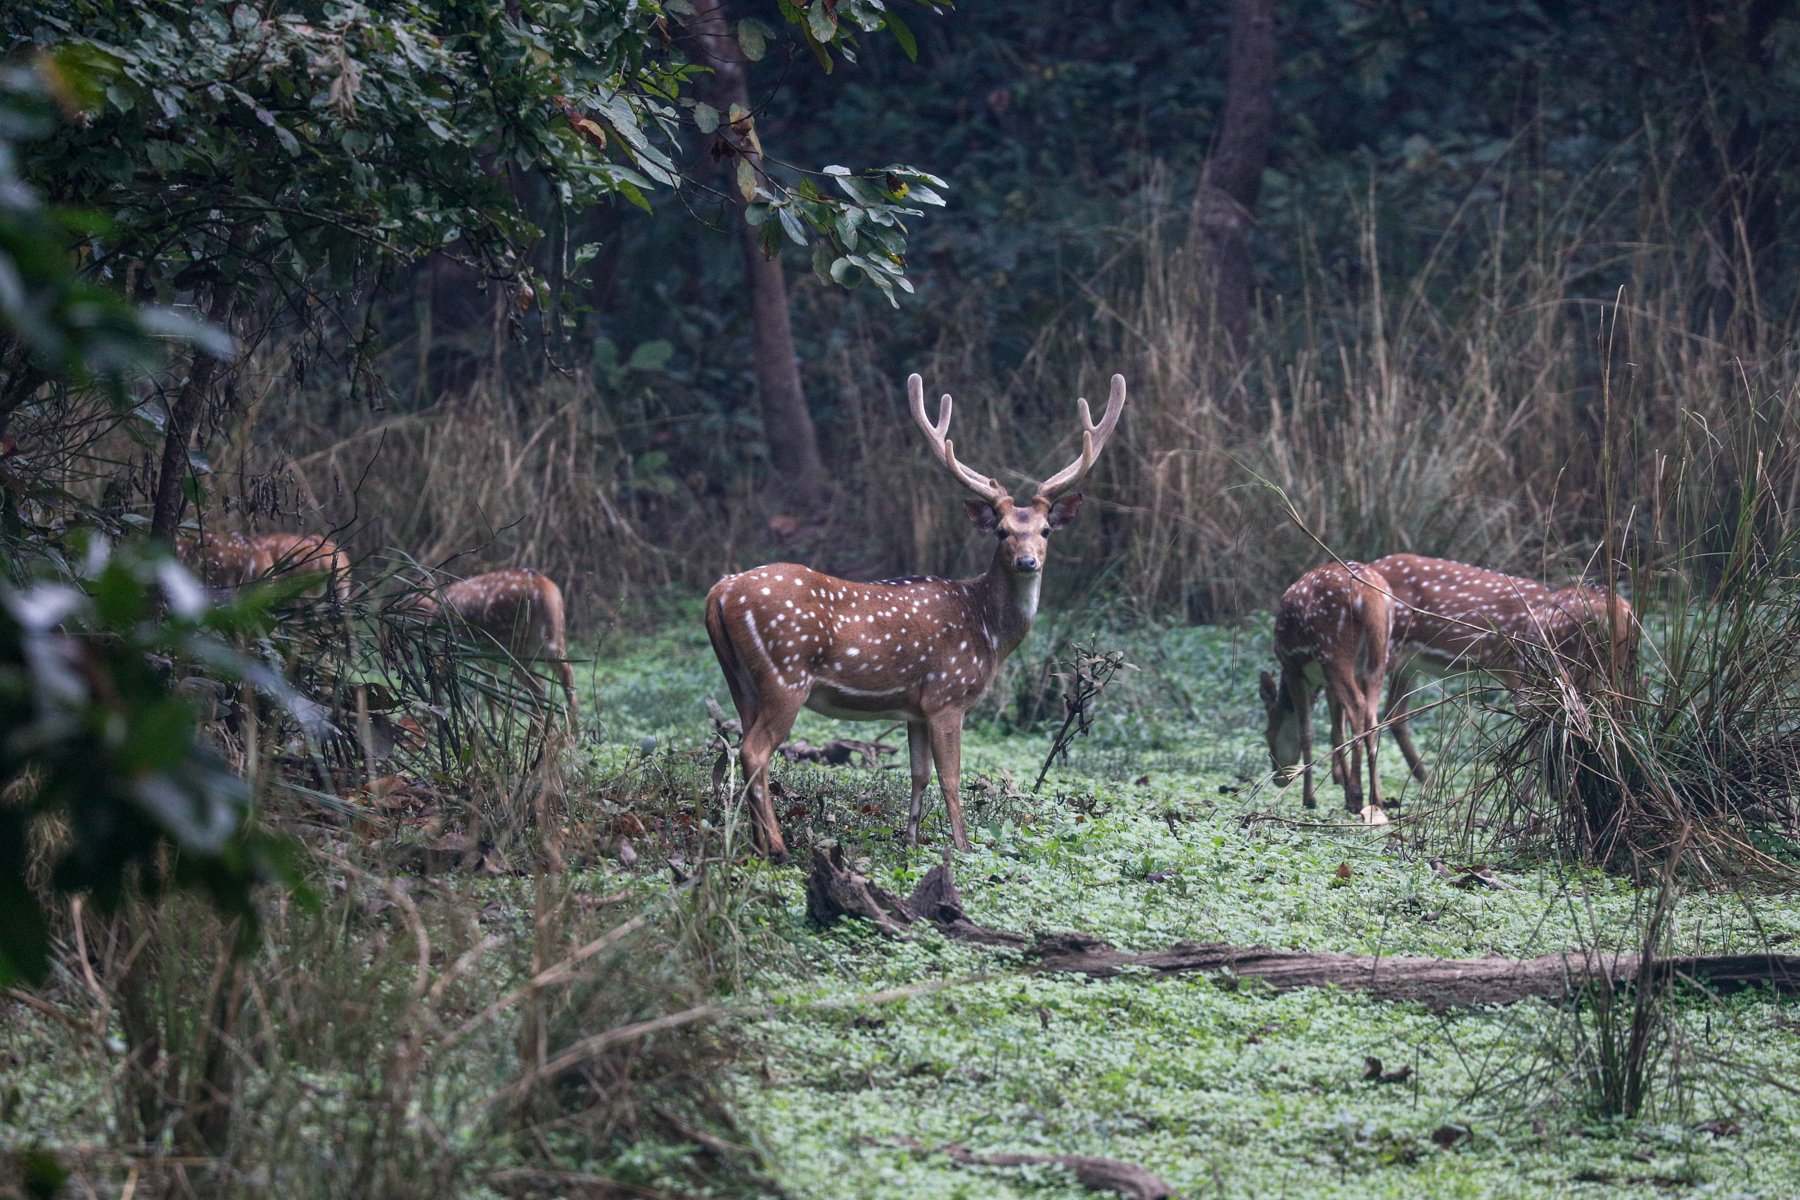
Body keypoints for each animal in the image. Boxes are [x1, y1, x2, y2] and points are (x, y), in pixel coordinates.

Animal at [406, 568, 576, 719]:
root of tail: (541, 587)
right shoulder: (487, 656)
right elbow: (490, 691)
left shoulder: (454, 647)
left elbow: (440, 679)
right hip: (554, 637)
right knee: (567, 677)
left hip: (512, 643)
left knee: (539, 687)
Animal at [702, 370, 1123, 859]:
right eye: (1001, 531)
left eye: (1046, 530)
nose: (1026, 561)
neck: (988, 632)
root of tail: (720, 591)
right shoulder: (947, 694)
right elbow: (951, 778)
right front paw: (962, 847)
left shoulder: (916, 708)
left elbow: (918, 773)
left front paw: (911, 841)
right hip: (785, 672)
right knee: (754, 751)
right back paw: (779, 847)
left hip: (741, 680)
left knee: (740, 745)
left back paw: (755, 844)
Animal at [1260, 557, 1396, 820]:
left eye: (1267, 733)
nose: (1279, 778)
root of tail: (1369, 595)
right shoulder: (1327, 684)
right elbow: (1336, 732)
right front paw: (1340, 784)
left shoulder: (1294, 669)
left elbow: (1307, 731)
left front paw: (1309, 798)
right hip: (1379, 653)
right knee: (1372, 714)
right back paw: (1376, 799)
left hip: (1333, 650)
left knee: (1357, 706)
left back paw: (1356, 796)